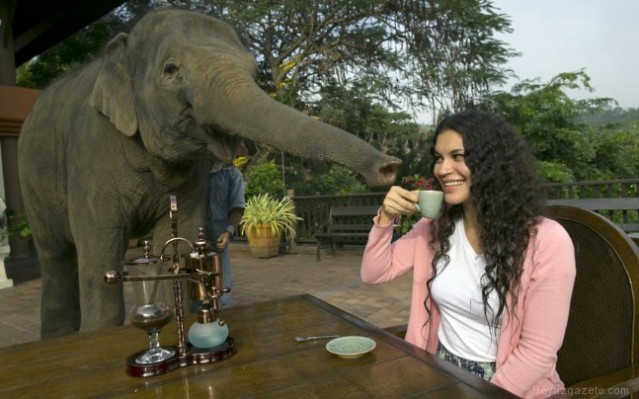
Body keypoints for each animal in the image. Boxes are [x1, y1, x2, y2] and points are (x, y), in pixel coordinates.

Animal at [18, 7, 400, 340]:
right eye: (170, 70)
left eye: (253, 71)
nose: (390, 167)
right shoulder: (92, 152)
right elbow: (101, 246)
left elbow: (177, 240)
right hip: (32, 185)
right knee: (55, 258)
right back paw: (56, 338)